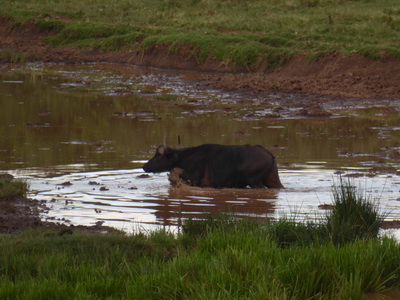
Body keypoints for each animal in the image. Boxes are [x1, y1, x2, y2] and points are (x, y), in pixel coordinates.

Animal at [142, 143, 282, 188]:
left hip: (254, 181)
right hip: (271, 179)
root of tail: (269, 155)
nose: (144, 166)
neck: (184, 158)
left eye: (157, 156)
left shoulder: (194, 177)